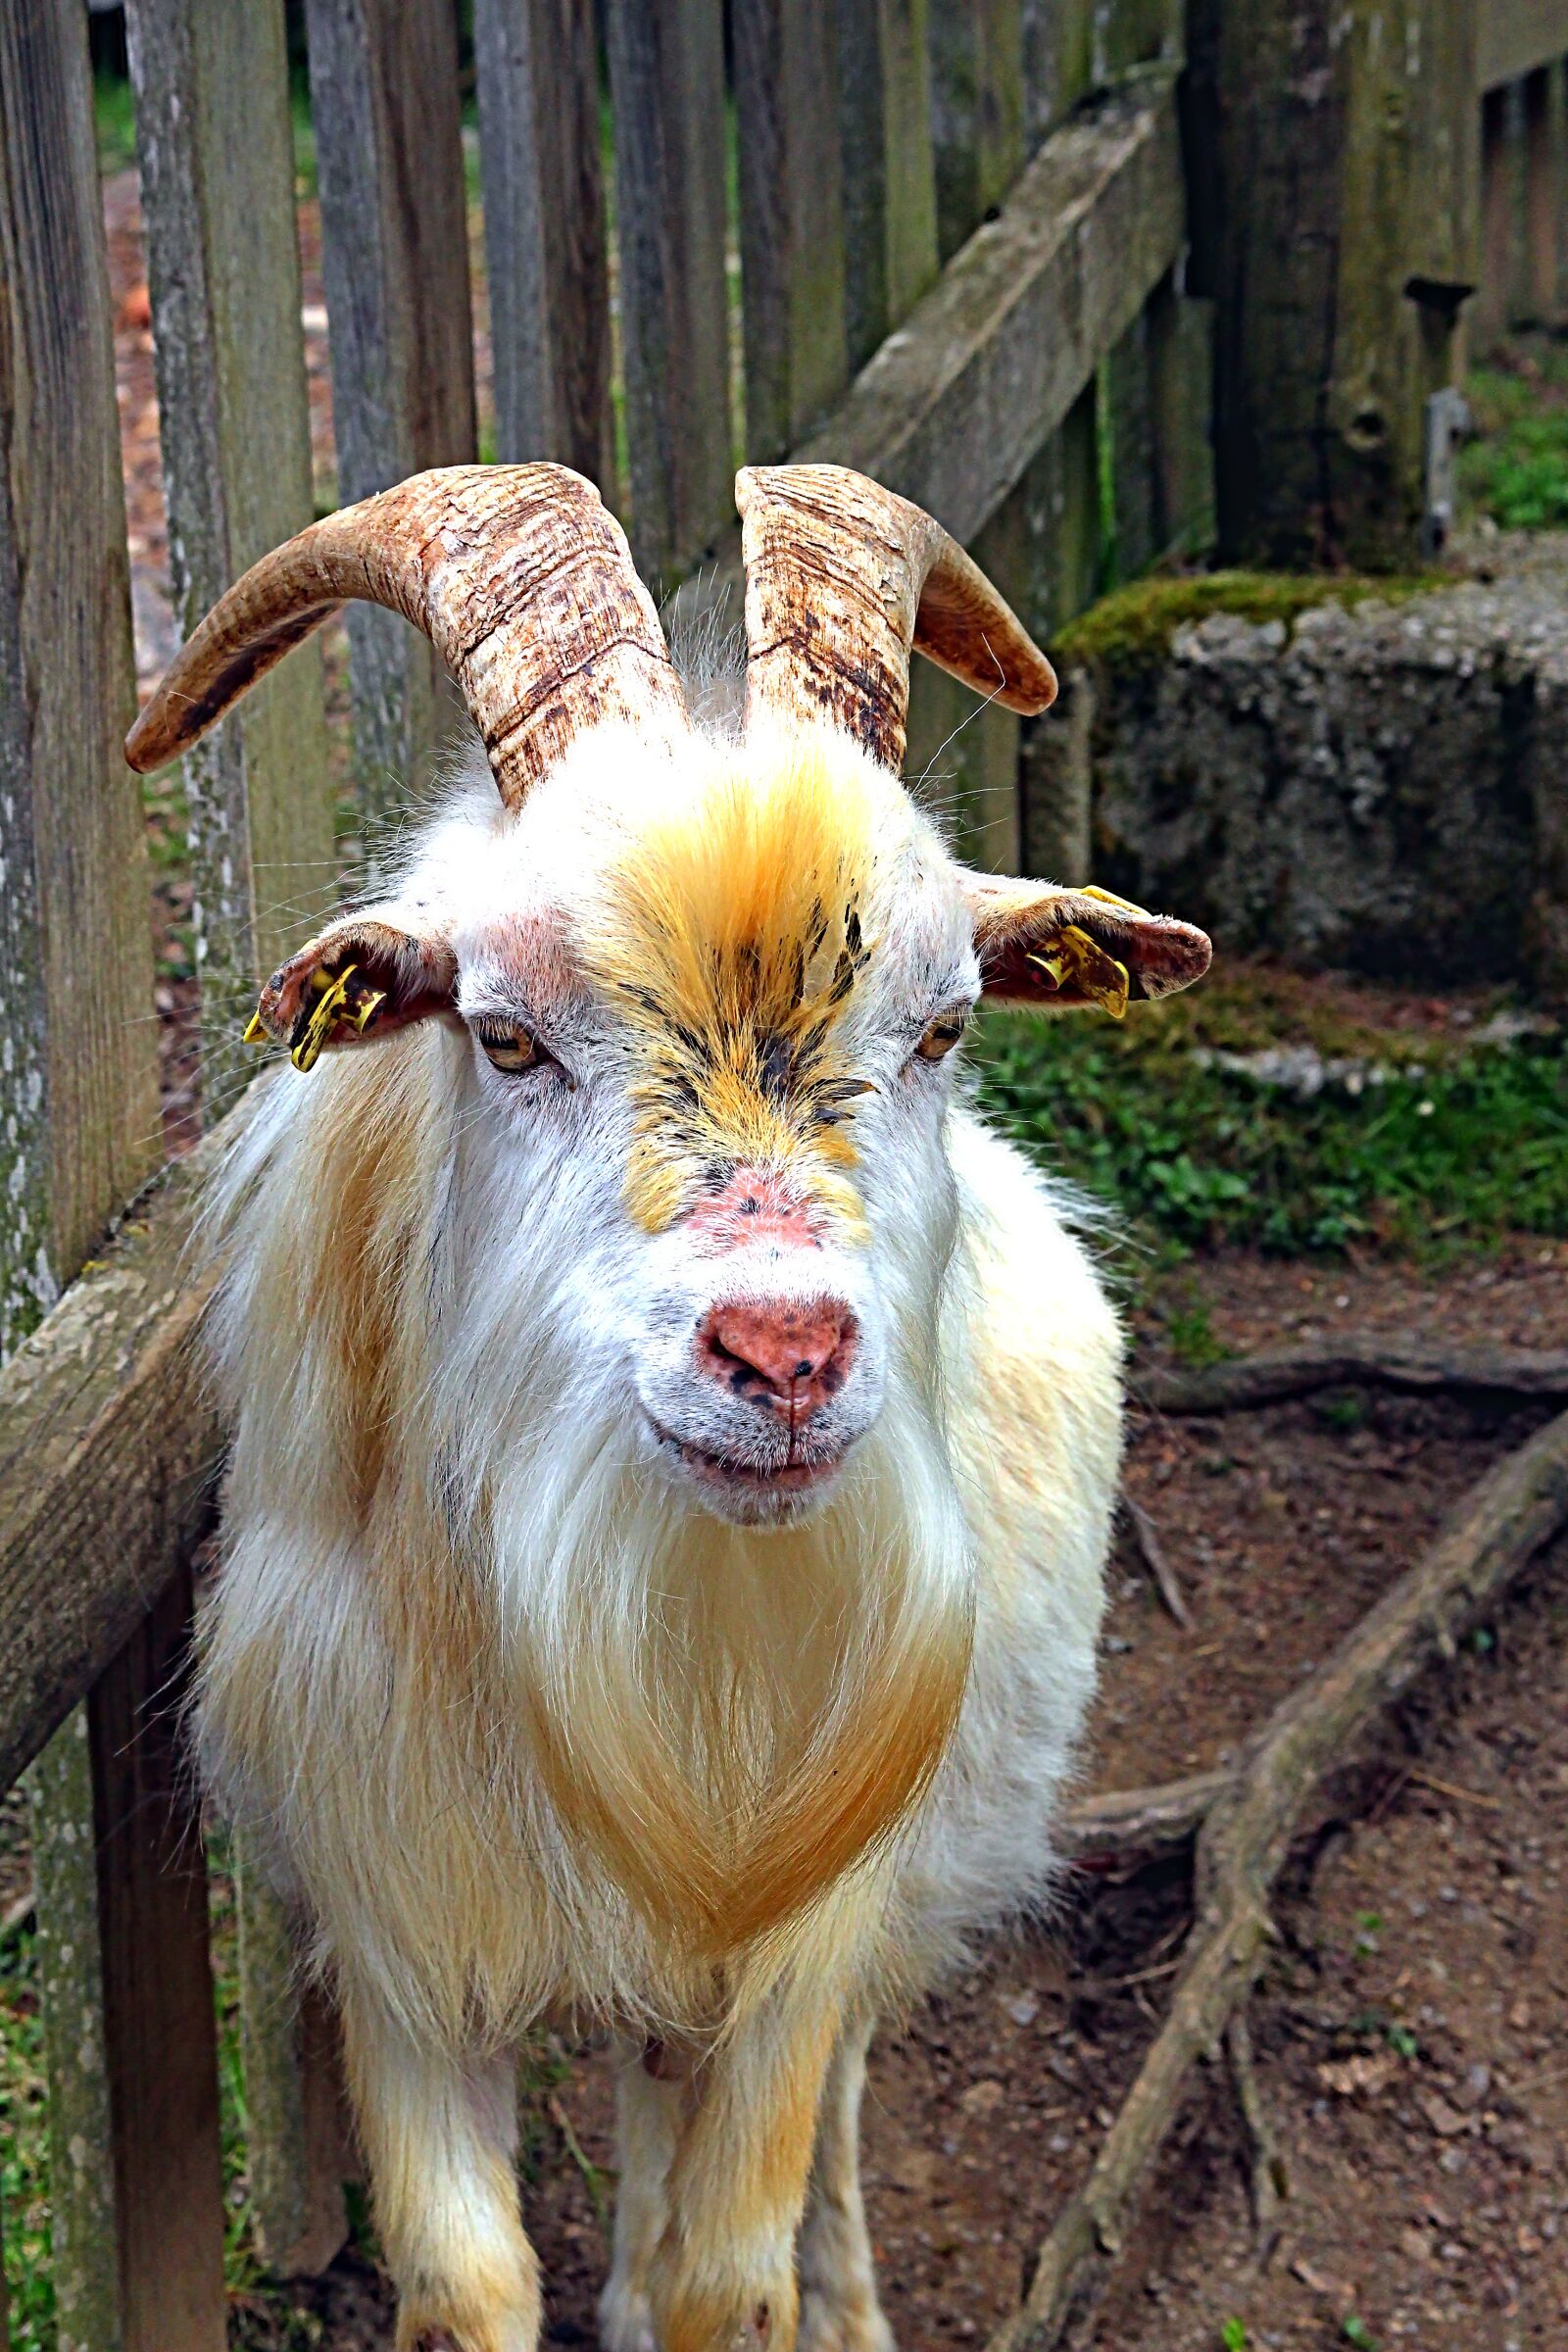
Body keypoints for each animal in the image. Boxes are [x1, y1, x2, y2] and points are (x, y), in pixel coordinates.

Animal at [127, 463, 1209, 2352]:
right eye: (498, 1035)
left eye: (946, 1026)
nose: (782, 1352)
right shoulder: (394, 1930)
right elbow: (469, 2278)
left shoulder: (800, 1934)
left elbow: (733, 2271)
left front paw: (768, 2292)